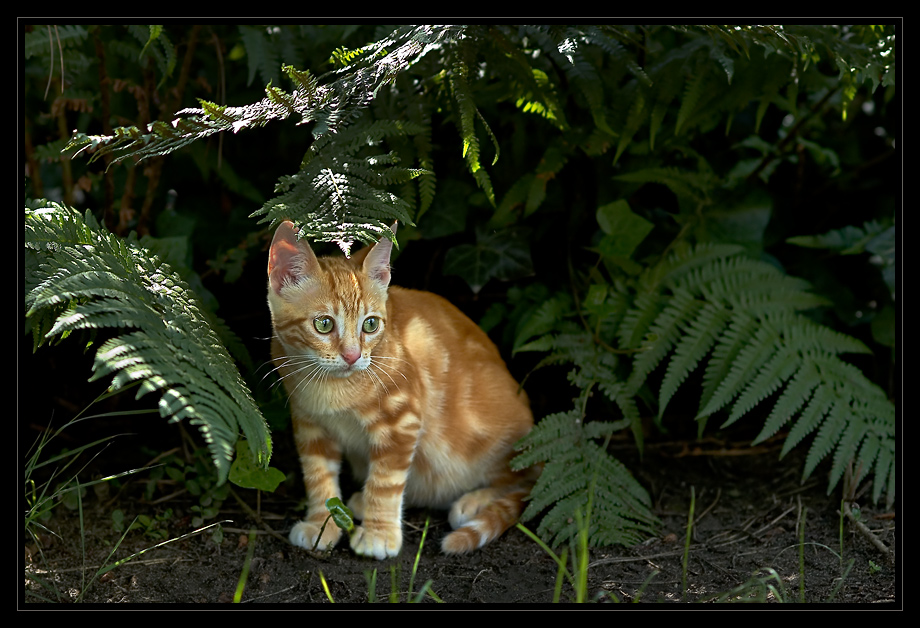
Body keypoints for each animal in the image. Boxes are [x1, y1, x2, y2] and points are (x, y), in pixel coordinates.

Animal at [266, 221, 536, 560]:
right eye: (324, 324)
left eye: (370, 325)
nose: (353, 356)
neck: (330, 386)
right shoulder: (308, 422)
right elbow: (318, 476)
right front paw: (320, 524)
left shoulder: (401, 420)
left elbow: (385, 482)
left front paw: (378, 535)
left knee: (526, 480)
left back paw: (474, 502)